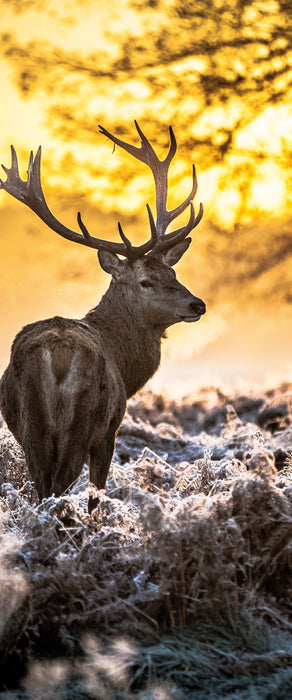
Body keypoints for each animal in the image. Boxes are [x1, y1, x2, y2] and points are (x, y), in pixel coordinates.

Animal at [0, 123, 205, 512]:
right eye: (146, 281)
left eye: (173, 273)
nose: (197, 305)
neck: (124, 362)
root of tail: (58, 353)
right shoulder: (110, 429)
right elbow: (98, 490)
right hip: (83, 421)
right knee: (60, 486)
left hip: (31, 424)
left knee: (41, 487)